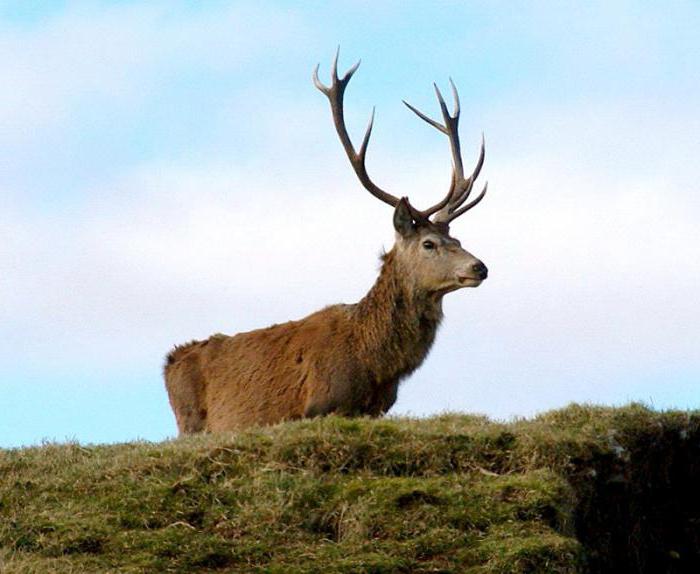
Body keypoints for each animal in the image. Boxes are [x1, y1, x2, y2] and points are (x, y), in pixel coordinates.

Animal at [165, 51, 490, 434]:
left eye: (457, 237)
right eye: (428, 244)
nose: (479, 267)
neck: (372, 363)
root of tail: (170, 361)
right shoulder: (320, 405)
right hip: (189, 421)